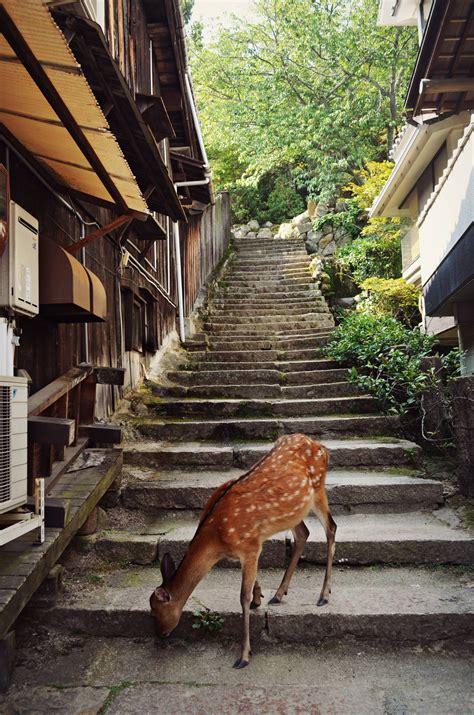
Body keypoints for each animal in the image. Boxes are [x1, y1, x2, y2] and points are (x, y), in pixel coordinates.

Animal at [150, 430, 336, 672]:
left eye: (154, 613)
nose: (160, 635)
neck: (218, 538)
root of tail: (321, 447)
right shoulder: (250, 547)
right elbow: (252, 582)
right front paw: (259, 597)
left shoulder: (250, 545)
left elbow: (242, 597)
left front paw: (244, 656)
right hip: (295, 510)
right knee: (303, 533)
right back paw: (278, 594)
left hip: (318, 488)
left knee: (331, 528)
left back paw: (323, 595)